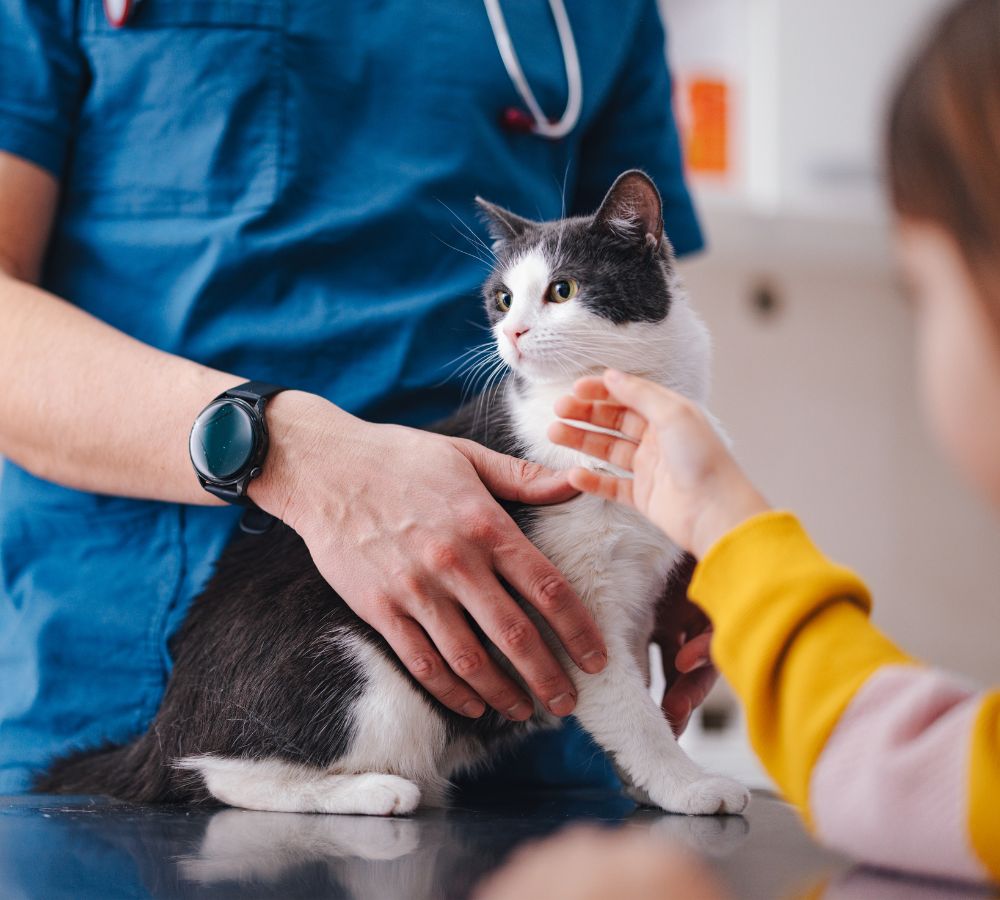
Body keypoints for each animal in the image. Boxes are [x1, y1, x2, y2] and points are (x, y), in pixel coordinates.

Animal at [37, 172, 752, 820]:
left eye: (563, 289)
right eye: (502, 298)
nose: (513, 333)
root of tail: (162, 724)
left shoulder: (633, 595)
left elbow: (639, 685)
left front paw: (649, 782)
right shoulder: (570, 606)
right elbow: (625, 705)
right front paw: (688, 784)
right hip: (363, 668)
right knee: (220, 772)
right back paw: (375, 791)